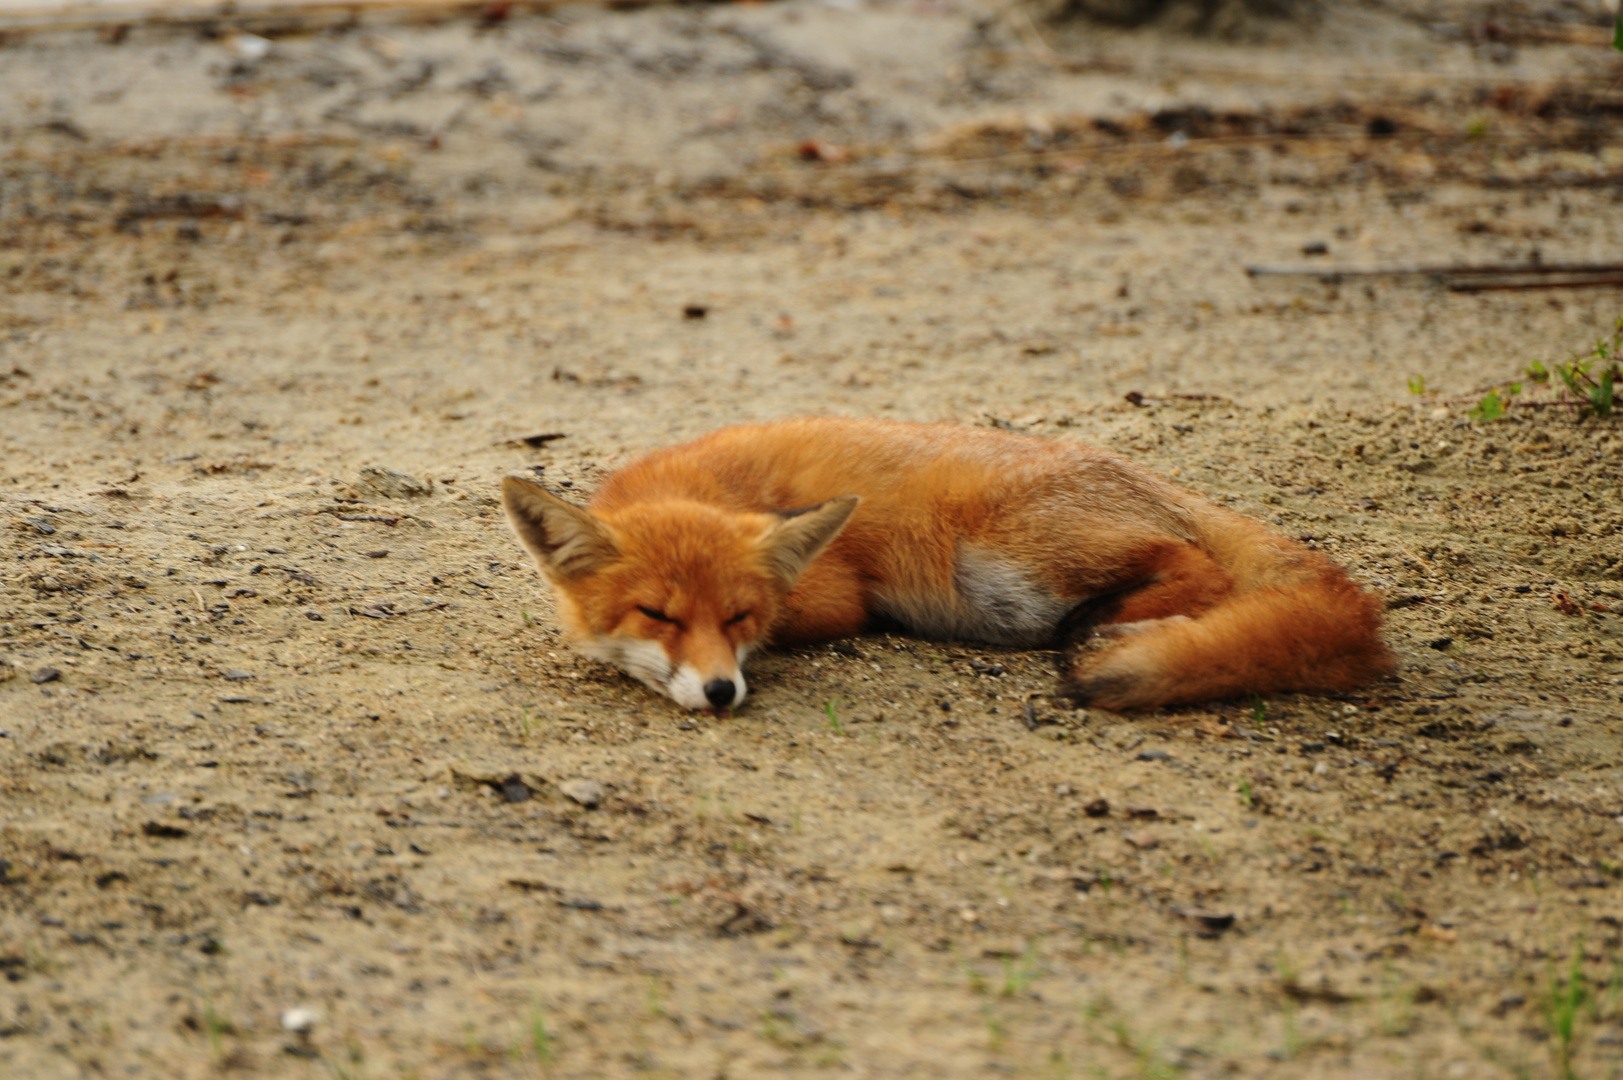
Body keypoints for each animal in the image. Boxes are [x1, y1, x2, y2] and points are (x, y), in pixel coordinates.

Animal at [503, 415, 1395, 711]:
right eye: (656, 614)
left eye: (738, 617)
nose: (722, 693)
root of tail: (1135, 472)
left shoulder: (836, 597)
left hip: (1003, 559)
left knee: (1195, 565)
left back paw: (1097, 631)